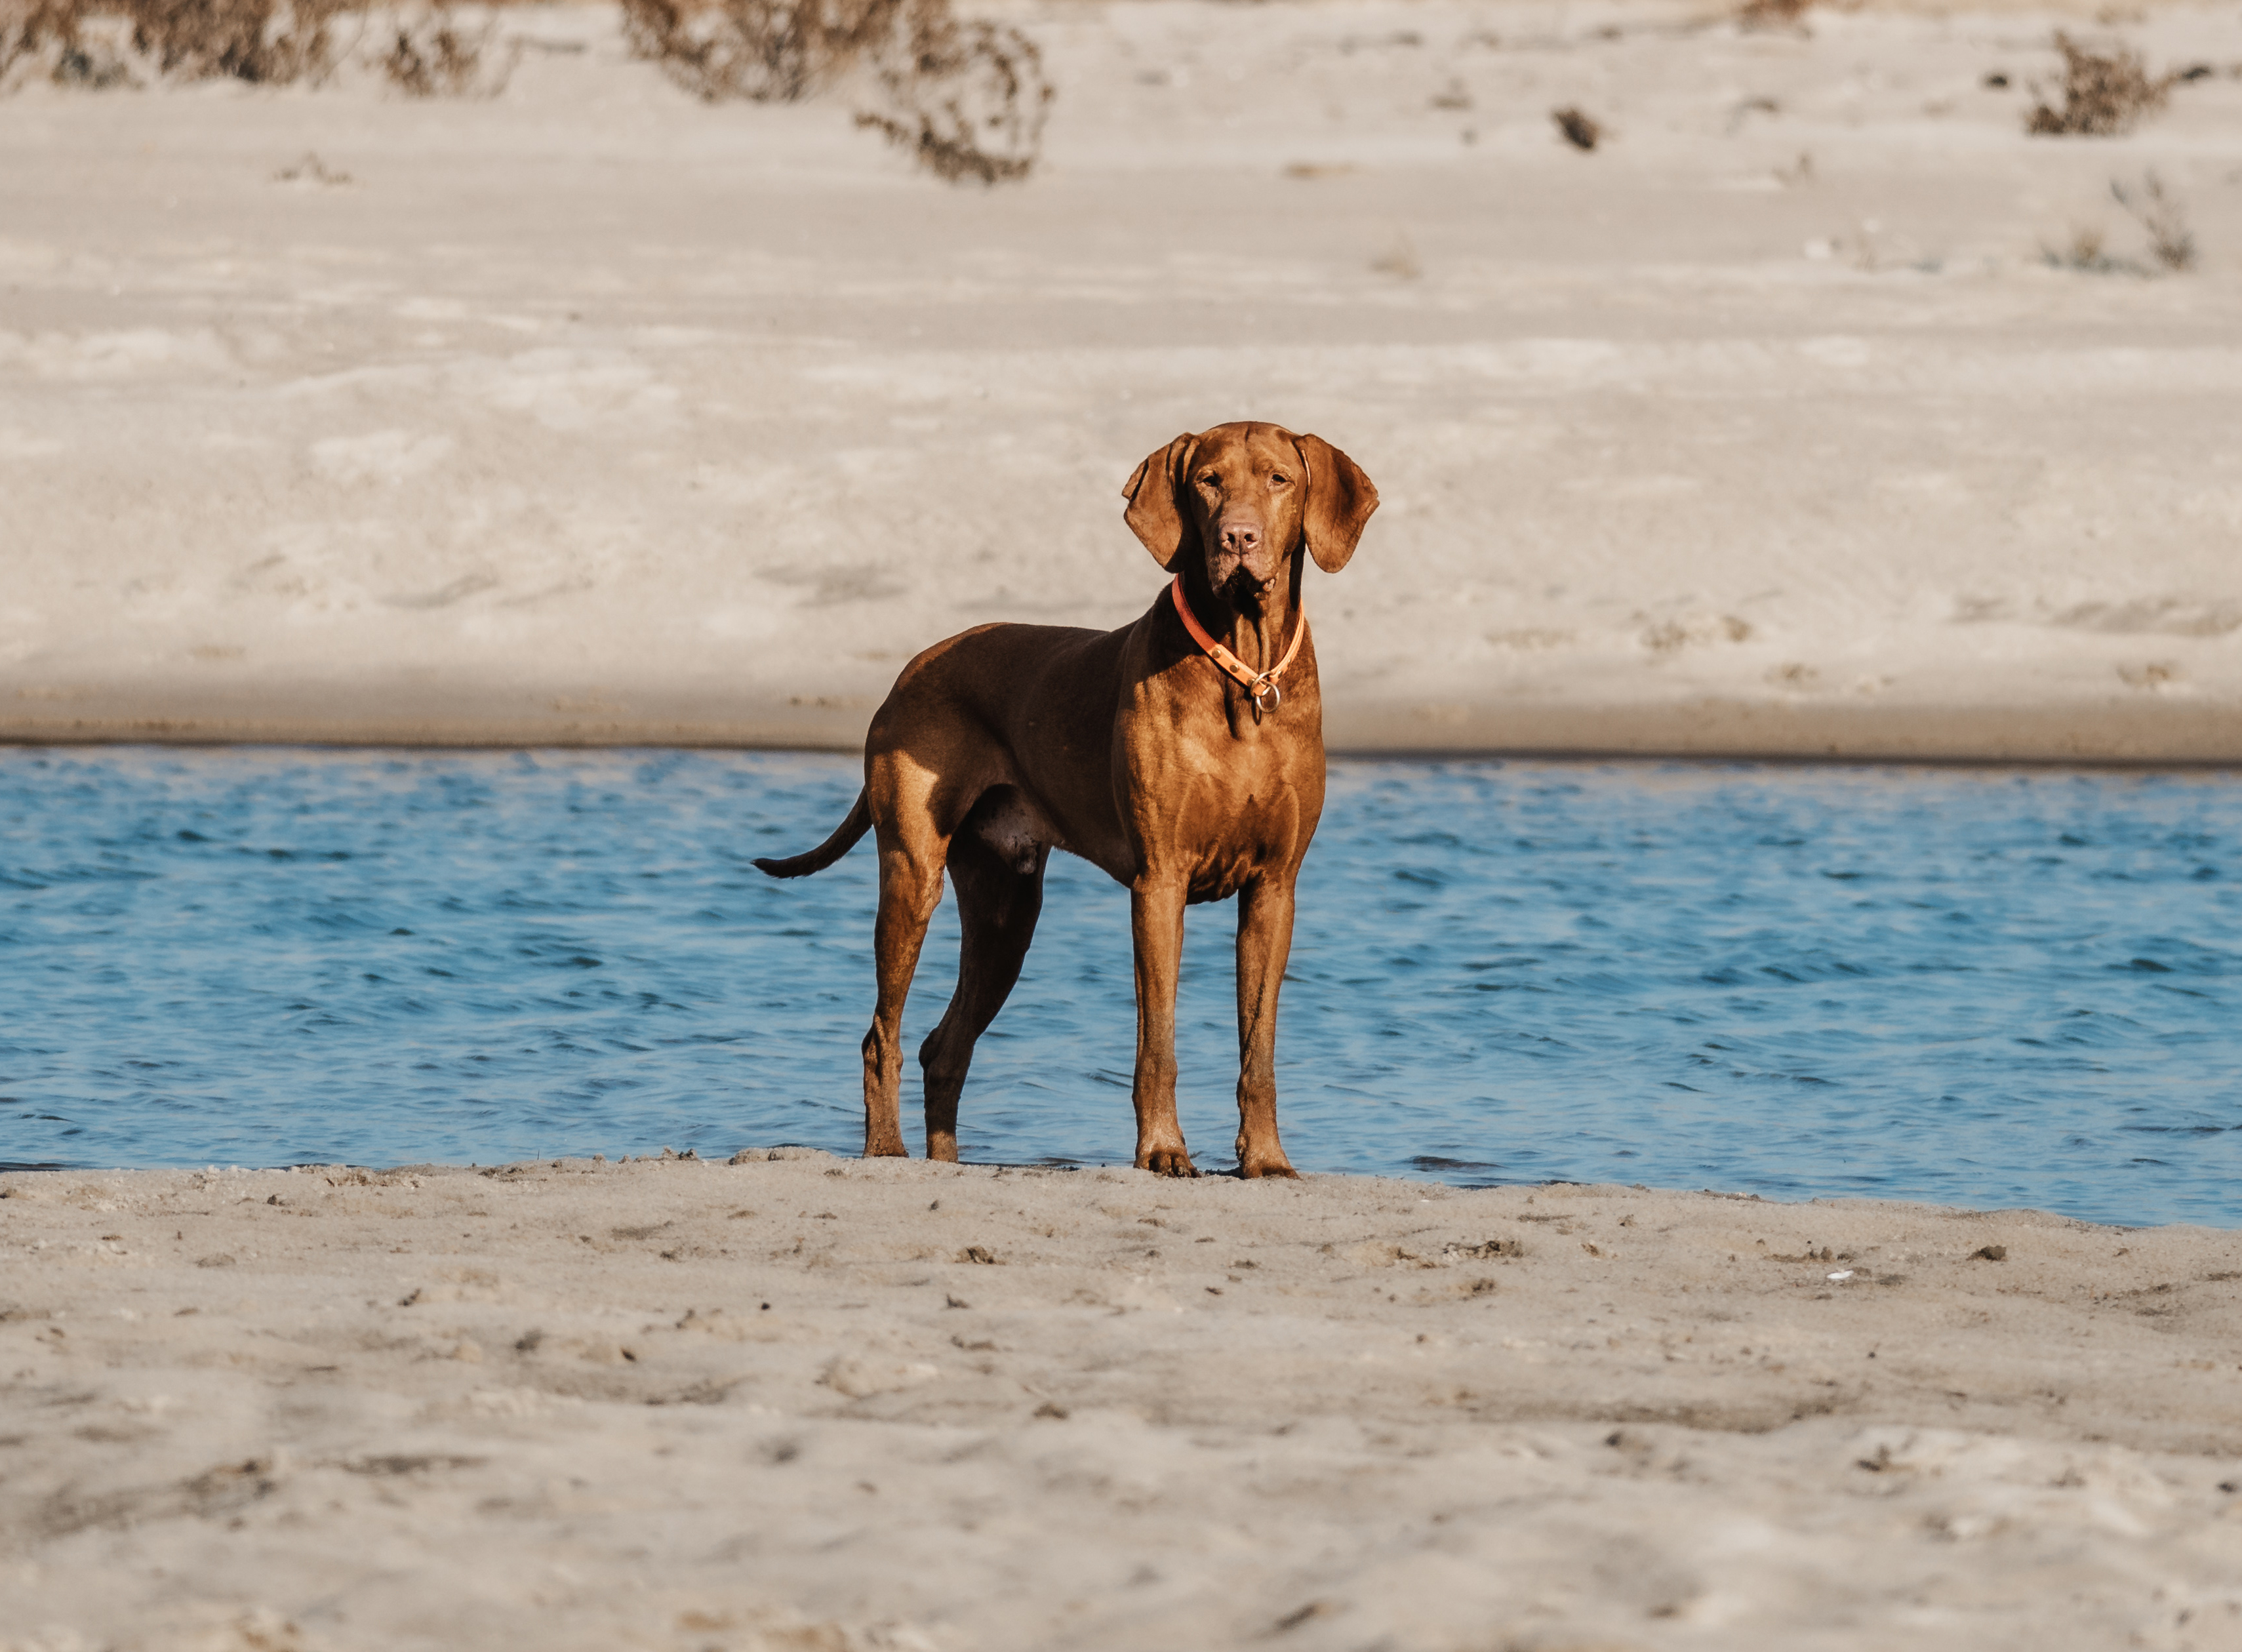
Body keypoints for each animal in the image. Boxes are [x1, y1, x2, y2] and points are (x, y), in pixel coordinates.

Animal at [753, 421, 1372, 1174]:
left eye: (1279, 480)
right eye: (1209, 481)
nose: (1238, 538)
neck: (1245, 670)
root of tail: (908, 669)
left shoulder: (1273, 889)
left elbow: (1259, 1049)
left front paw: (1265, 1156)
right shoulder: (1159, 882)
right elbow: (1157, 1043)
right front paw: (1162, 1149)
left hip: (1006, 909)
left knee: (943, 1047)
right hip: (912, 874)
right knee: (883, 1034)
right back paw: (887, 1150)